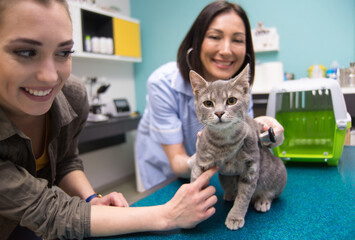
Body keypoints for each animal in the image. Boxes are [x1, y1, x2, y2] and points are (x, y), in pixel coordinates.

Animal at [191, 64, 288, 231]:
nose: (219, 112)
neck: (224, 142)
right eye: (208, 103)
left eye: (231, 100)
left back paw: (263, 200)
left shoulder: (251, 168)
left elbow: (243, 197)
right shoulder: (201, 160)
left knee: (271, 193)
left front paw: (235, 217)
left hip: (278, 173)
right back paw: (230, 194)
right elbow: (195, 180)